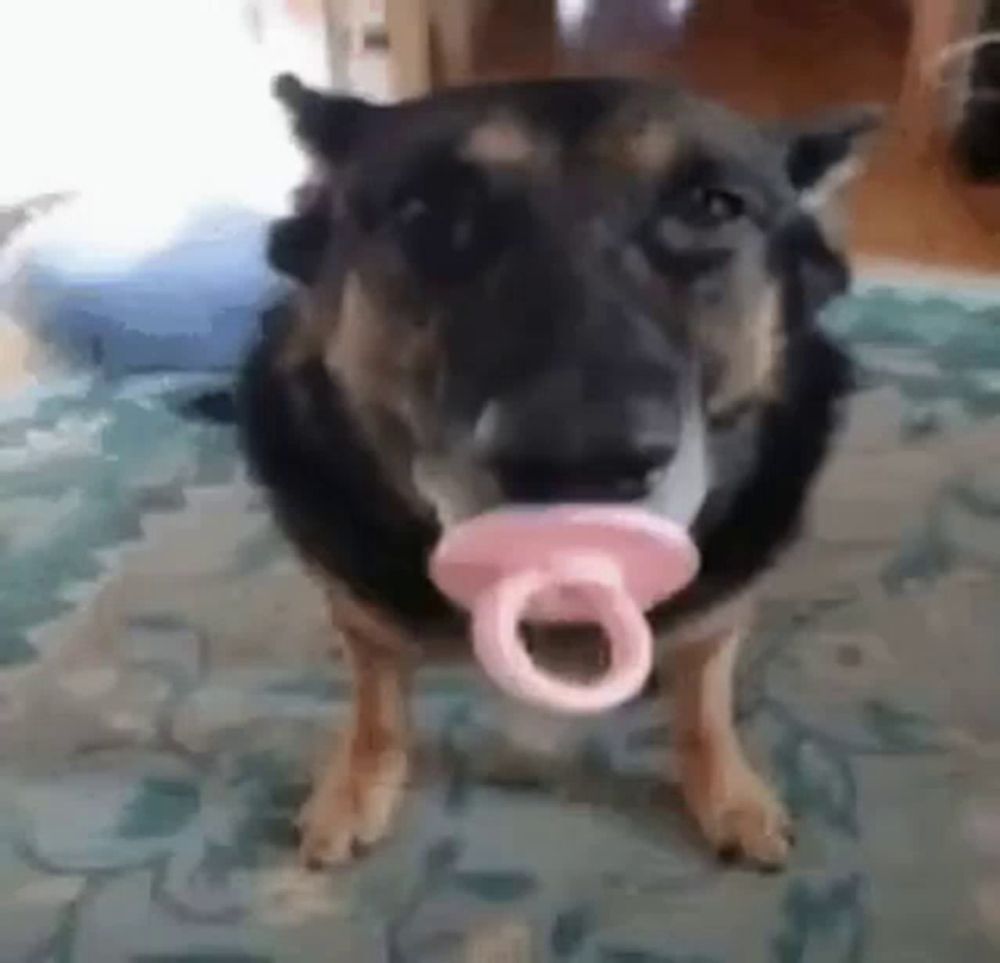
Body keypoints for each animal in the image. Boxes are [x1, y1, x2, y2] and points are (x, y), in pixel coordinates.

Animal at [240, 73, 876, 872]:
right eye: (428, 208)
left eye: (712, 206)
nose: (583, 464)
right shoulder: (359, 605)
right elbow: (377, 703)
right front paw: (357, 785)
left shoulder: (720, 607)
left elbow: (705, 700)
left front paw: (730, 794)